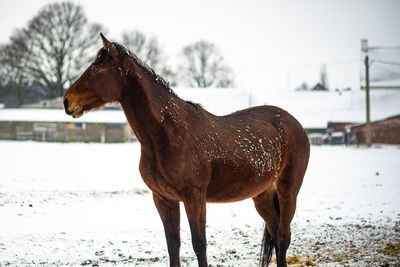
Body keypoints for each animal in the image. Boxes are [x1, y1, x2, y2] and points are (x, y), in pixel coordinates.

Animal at [64, 33, 310, 267]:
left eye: (96, 68)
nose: (67, 101)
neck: (170, 135)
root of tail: (293, 123)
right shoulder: (164, 199)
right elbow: (173, 245)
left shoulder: (194, 198)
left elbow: (199, 244)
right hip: (261, 194)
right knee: (274, 231)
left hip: (288, 191)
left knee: (283, 236)